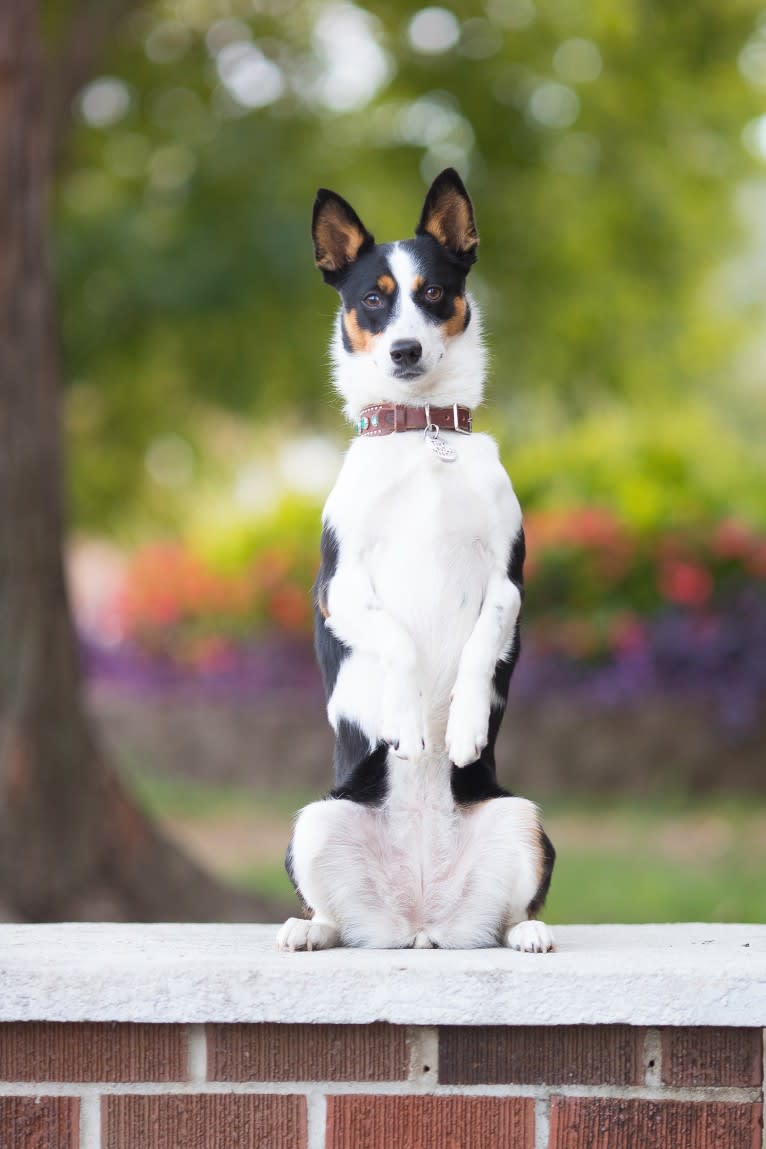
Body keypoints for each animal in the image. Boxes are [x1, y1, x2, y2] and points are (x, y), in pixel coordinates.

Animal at [279, 164, 553, 951]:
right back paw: (306, 930)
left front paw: (460, 724)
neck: (420, 433)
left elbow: (481, 645)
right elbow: (397, 639)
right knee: (332, 917)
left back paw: (528, 933)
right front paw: (408, 720)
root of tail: (422, 922)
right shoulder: (339, 589)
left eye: (433, 292)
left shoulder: (507, 581)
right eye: (373, 299)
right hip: (315, 821)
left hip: (523, 819)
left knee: (514, 912)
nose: (405, 351)